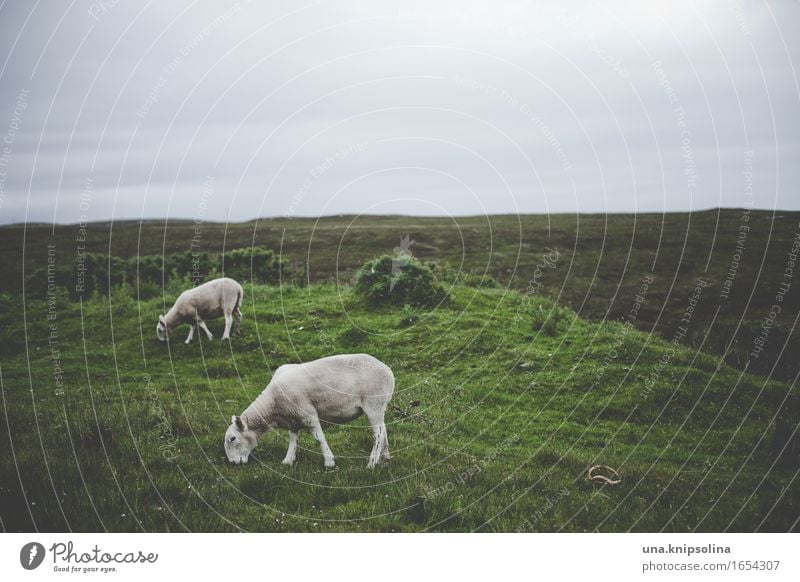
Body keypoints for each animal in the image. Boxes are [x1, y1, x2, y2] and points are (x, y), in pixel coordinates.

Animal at [225, 352, 394, 470]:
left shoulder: (308, 415)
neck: (273, 406)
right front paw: (287, 461)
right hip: (380, 406)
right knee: (384, 430)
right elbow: (293, 440)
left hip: (373, 404)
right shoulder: (293, 418)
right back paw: (385, 458)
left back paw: (372, 463)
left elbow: (319, 438)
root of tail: (388, 371)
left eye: (232, 439)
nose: (232, 462)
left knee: (378, 435)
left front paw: (329, 462)